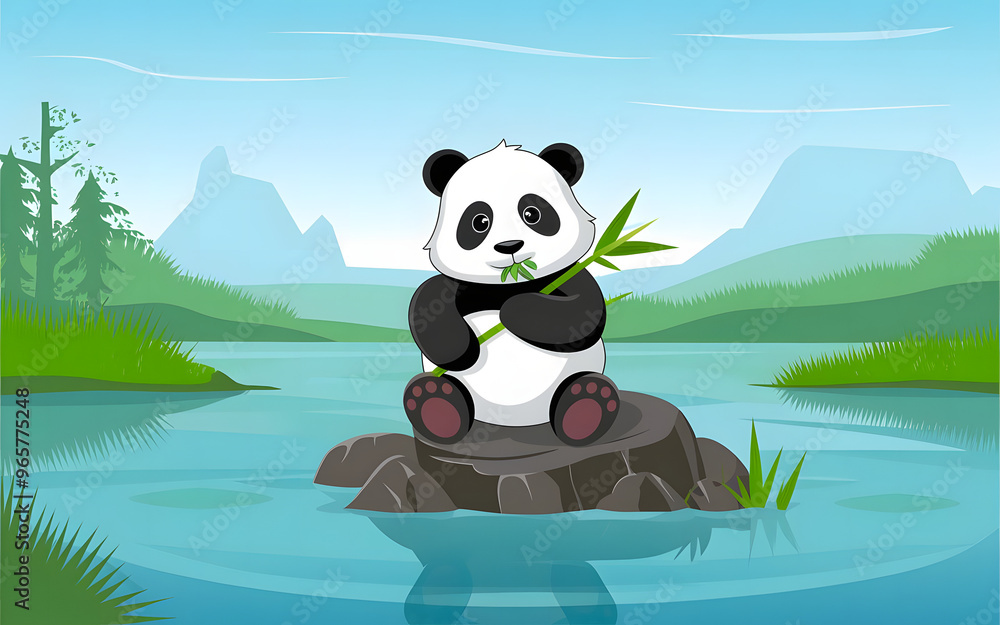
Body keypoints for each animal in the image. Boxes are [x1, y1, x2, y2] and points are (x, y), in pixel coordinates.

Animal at [405, 140, 620, 447]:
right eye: (479, 221)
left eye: (532, 213)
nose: (509, 246)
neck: (511, 283)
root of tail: (514, 420)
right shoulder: (462, 285)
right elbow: (428, 302)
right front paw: (460, 349)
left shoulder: (569, 275)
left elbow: (584, 313)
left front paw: (515, 309)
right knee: (448, 389)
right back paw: (435, 405)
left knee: (579, 387)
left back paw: (586, 405)